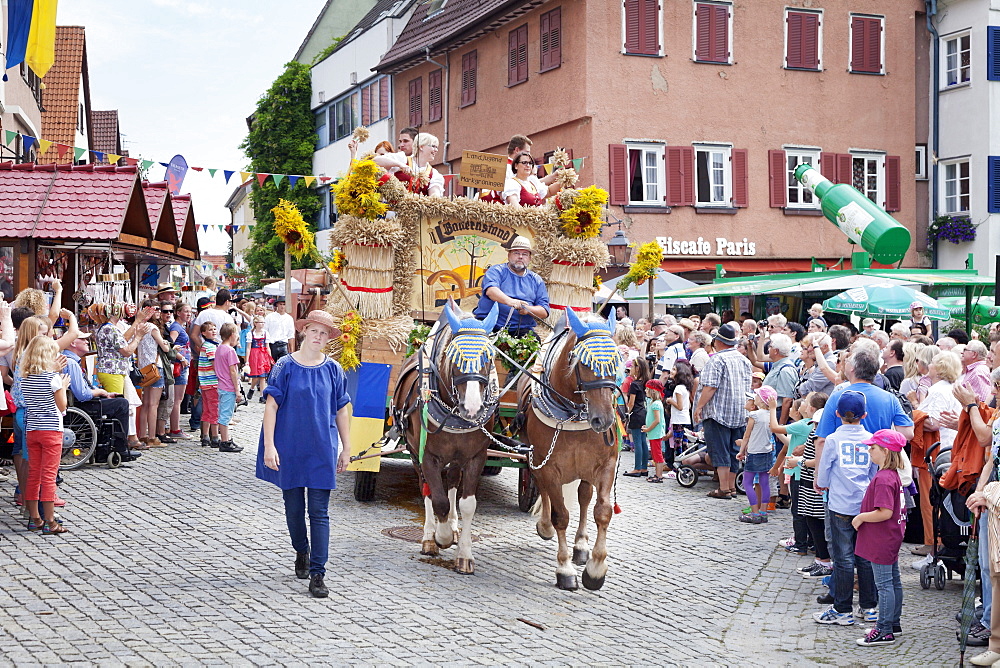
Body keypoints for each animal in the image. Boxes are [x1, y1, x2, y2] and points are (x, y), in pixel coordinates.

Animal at [392, 302, 498, 576]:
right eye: (454, 356)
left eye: (489, 356)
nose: (472, 408)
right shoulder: (427, 455)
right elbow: (438, 500)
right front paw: (440, 538)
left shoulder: (476, 457)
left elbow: (467, 504)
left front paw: (464, 554)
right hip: (414, 450)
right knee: (427, 489)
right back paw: (432, 536)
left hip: (456, 458)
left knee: (451, 481)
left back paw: (452, 525)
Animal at [520, 308, 620, 588]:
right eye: (584, 363)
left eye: (616, 360)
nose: (604, 420)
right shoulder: (548, 466)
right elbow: (561, 516)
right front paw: (564, 570)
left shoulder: (606, 465)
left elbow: (603, 511)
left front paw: (596, 568)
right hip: (536, 459)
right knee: (542, 488)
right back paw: (545, 527)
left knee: (585, 497)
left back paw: (581, 546)